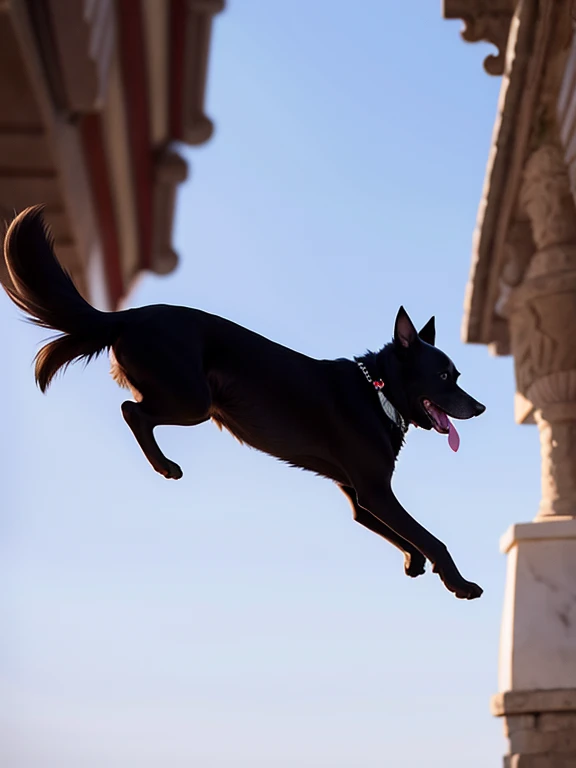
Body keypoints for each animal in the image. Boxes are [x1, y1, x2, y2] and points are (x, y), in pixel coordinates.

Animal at [1, 206, 486, 600]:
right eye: (444, 376)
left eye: (458, 376)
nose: (480, 409)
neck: (378, 390)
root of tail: (129, 316)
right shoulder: (376, 490)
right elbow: (430, 537)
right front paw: (460, 584)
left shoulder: (360, 497)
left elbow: (405, 537)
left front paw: (415, 563)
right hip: (194, 400)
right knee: (131, 411)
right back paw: (165, 466)